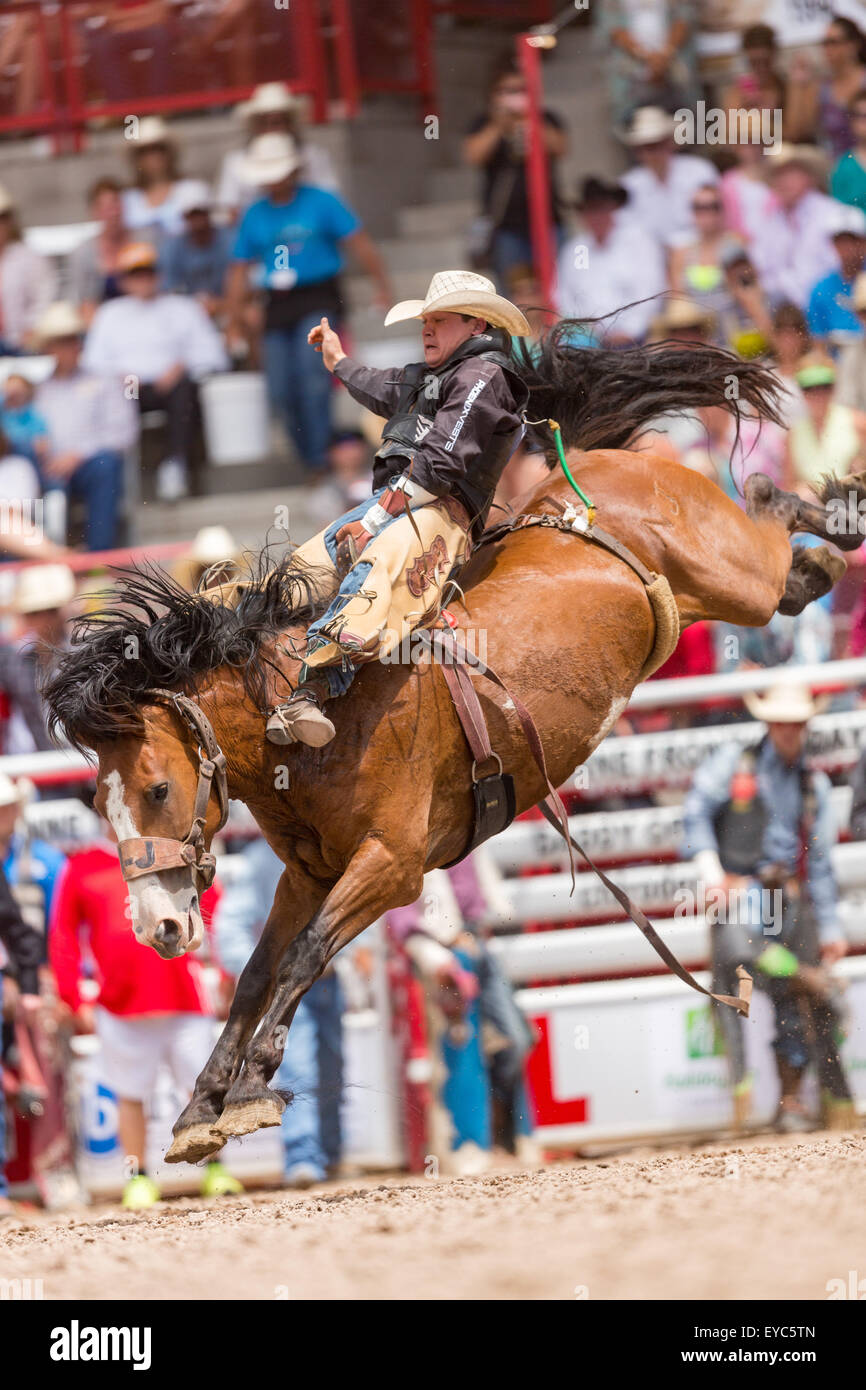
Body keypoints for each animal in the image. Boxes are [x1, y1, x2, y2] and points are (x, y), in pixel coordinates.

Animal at [42, 328, 866, 1162]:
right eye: (99, 803)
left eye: (157, 788)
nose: (158, 928)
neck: (306, 724)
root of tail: (602, 464)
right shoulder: (307, 876)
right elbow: (253, 974)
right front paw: (199, 1110)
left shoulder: (392, 865)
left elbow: (306, 955)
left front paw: (249, 1090)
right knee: (787, 570)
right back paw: (823, 554)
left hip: (733, 577)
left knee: (766, 505)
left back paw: (841, 514)